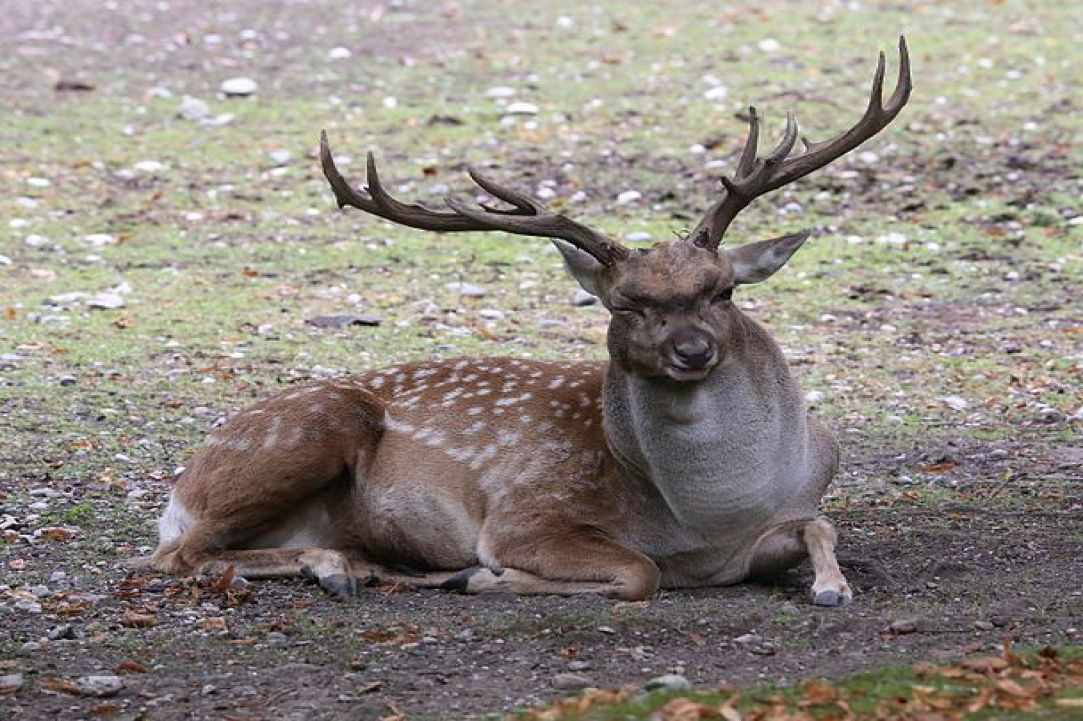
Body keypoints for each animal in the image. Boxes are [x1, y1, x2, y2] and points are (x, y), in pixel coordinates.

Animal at [149, 38, 911, 606]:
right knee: (179, 555)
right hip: (301, 433)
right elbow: (639, 571)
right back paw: (342, 568)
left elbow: (822, 526)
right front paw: (480, 575)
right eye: (624, 303)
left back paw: (356, 563)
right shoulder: (526, 512)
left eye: (722, 291)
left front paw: (833, 586)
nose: (692, 351)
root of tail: (182, 486)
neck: (714, 518)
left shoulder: (784, 518)